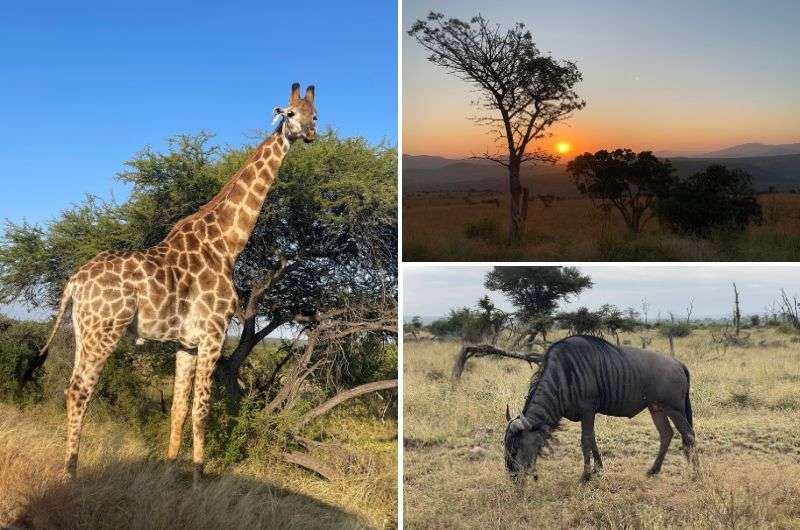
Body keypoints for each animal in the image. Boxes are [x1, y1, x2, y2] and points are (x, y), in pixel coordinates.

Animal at [22, 80, 316, 480]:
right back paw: (69, 471)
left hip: (84, 331)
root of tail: (74, 282)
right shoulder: (213, 335)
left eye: (316, 115)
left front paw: (169, 470)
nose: (312, 134)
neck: (226, 243)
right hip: (105, 330)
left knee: (73, 386)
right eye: (292, 114)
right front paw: (198, 476)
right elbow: (201, 410)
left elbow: (178, 409)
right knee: (80, 390)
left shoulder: (186, 344)